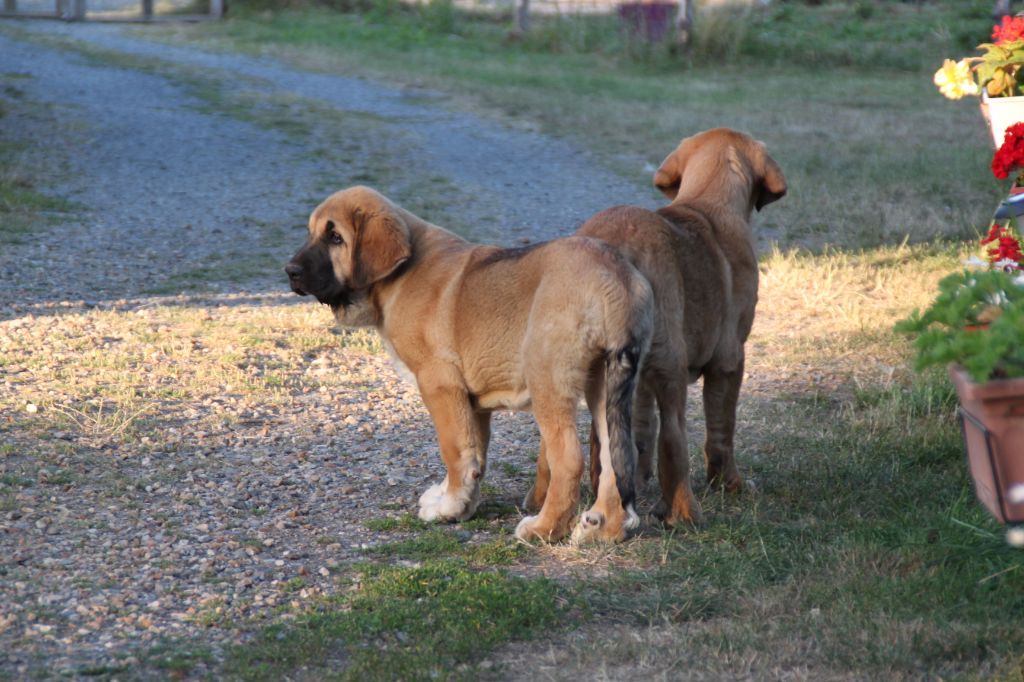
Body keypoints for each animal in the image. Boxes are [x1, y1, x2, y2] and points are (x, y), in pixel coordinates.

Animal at [286, 184, 655, 540]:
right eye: (311, 233)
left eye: (335, 237)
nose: (290, 271)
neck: (399, 277)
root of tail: (616, 276)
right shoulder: (472, 401)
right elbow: (475, 456)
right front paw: (460, 507)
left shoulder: (440, 385)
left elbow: (455, 454)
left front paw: (447, 506)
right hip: (605, 385)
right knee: (615, 458)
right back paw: (602, 529)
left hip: (547, 379)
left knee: (568, 460)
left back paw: (544, 528)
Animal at [524, 127, 786, 522]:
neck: (709, 201)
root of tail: (611, 248)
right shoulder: (729, 360)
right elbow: (721, 430)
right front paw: (730, 485)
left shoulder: (640, 377)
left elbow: (640, 428)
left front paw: (639, 477)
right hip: (670, 361)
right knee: (674, 436)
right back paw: (683, 513)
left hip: (572, 365)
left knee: (557, 441)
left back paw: (544, 501)